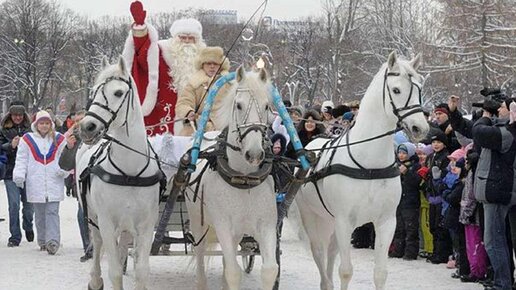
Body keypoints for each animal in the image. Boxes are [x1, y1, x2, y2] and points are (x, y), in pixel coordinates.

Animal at [76, 57, 160, 290]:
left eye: (118, 92)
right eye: (93, 91)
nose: (87, 126)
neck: (130, 173)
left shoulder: (146, 225)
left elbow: (142, 270)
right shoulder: (106, 221)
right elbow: (113, 271)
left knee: (123, 247)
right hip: (93, 218)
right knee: (97, 245)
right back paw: (95, 279)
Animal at [186, 67, 278, 290]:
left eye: (266, 106)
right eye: (239, 105)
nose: (254, 154)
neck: (243, 180)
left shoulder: (266, 225)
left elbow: (270, 270)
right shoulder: (223, 226)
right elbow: (234, 273)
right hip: (198, 222)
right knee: (200, 253)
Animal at [296, 52, 430, 290]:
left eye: (419, 88)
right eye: (396, 90)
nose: (420, 128)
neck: (369, 166)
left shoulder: (386, 222)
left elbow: (380, 273)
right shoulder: (344, 221)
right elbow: (346, 271)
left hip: (331, 220)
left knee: (331, 252)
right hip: (313, 216)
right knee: (319, 252)